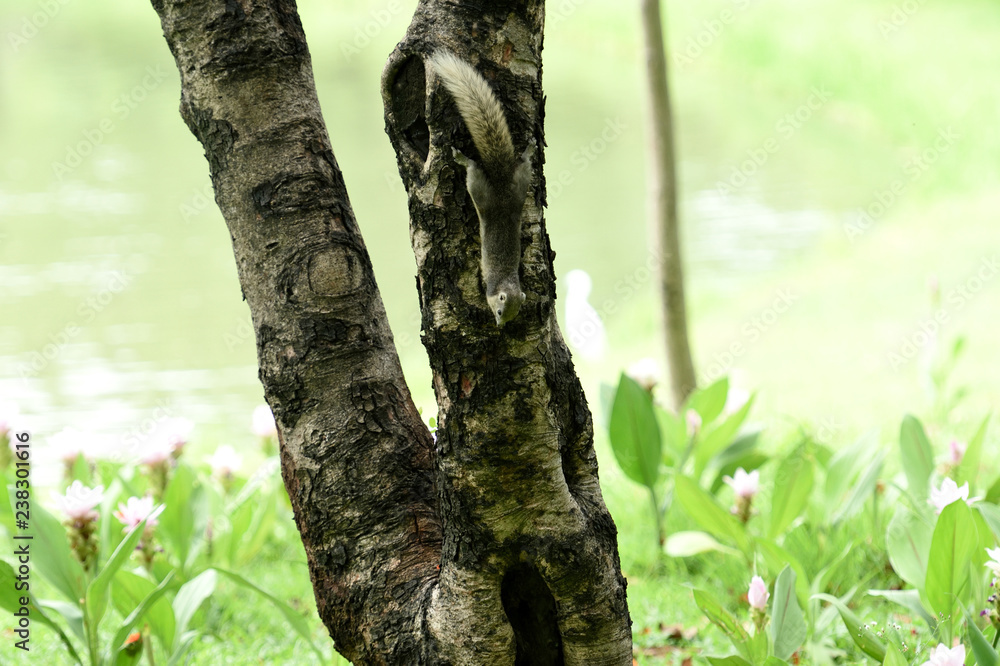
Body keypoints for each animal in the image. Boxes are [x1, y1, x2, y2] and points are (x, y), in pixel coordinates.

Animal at [426, 50, 533, 326]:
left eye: (514, 314)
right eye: (500, 311)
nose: (499, 326)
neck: (503, 281)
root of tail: (501, 180)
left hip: (519, 186)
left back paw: (528, 150)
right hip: (480, 188)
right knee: (473, 168)